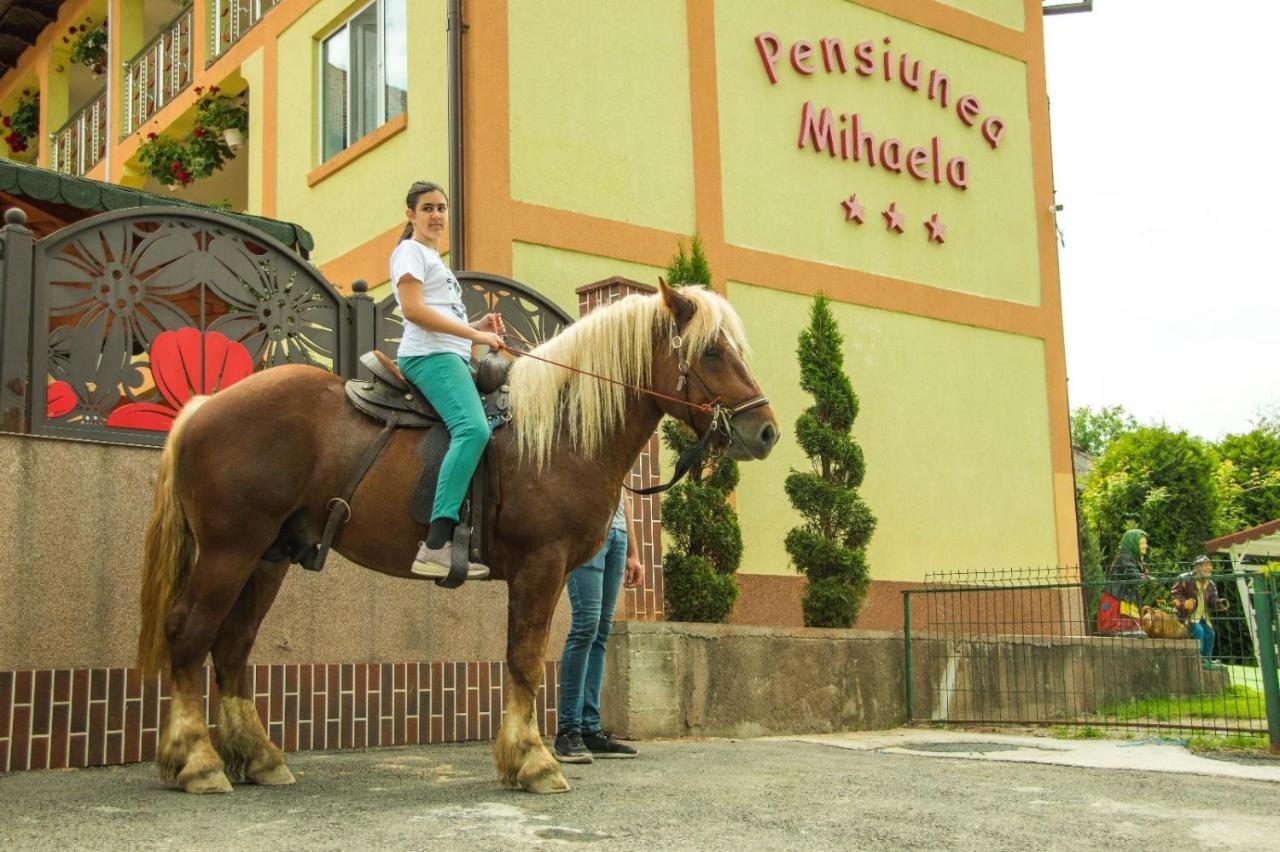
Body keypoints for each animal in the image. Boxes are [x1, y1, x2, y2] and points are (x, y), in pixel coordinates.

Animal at [137, 281, 778, 793]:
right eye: (712, 351)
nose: (766, 431)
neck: (557, 433)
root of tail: (202, 407)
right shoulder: (541, 566)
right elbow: (526, 660)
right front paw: (534, 762)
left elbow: (521, 660)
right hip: (231, 550)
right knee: (190, 633)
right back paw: (197, 762)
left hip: (268, 557)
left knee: (232, 645)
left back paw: (260, 758)